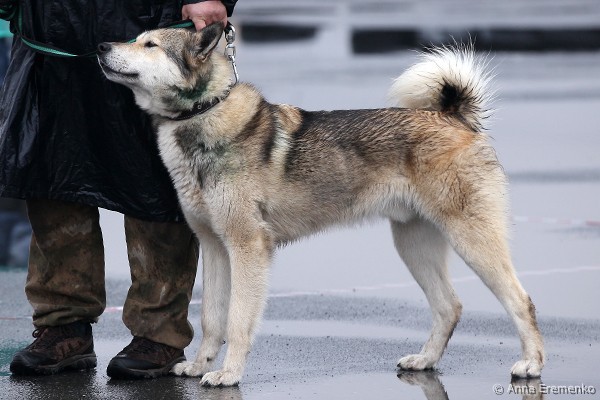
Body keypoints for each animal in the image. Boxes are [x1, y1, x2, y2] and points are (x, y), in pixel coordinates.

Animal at [98, 23, 545, 386]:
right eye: (136, 39)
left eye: (150, 44)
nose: (101, 45)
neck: (204, 114)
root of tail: (453, 118)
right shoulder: (214, 247)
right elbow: (211, 318)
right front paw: (199, 365)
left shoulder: (247, 248)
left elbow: (238, 320)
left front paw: (228, 374)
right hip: (413, 245)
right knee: (449, 306)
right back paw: (426, 360)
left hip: (472, 239)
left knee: (520, 300)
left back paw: (532, 364)